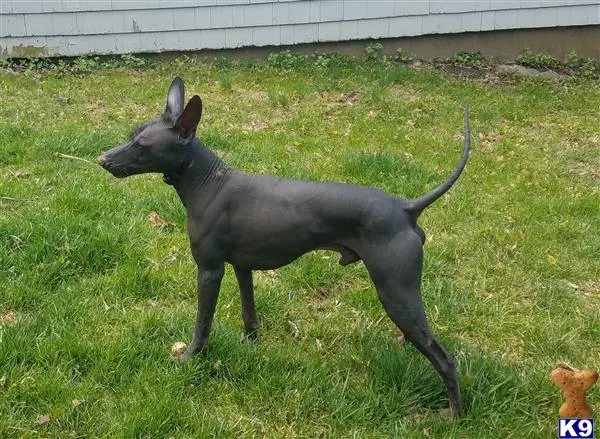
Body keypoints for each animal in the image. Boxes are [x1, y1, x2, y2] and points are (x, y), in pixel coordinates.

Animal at [98, 77, 472, 418]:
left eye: (142, 144)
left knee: (445, 359)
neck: (208, 181)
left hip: (396, 292)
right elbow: (249, 312)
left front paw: (190, 357)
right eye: (132, 134)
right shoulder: (241, 267)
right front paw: (252, 344)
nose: (102, 159)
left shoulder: (209, 271)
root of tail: (406, 209)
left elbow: (202, 322)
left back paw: (453, 414)